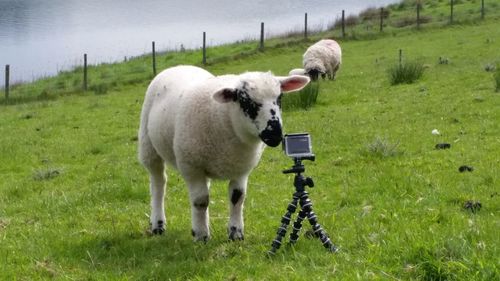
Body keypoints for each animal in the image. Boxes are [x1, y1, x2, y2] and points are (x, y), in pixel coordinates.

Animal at [138, 65, 308, 241]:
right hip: (148, 146)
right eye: (244, 100)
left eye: (280, 97)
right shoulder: (191, 166)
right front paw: (201, 236)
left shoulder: (241, 168)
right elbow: (200, 201)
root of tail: (179, 66)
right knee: (158, 185)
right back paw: (158, 224)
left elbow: (237, 197)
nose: (274, 134)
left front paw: (235, 233)